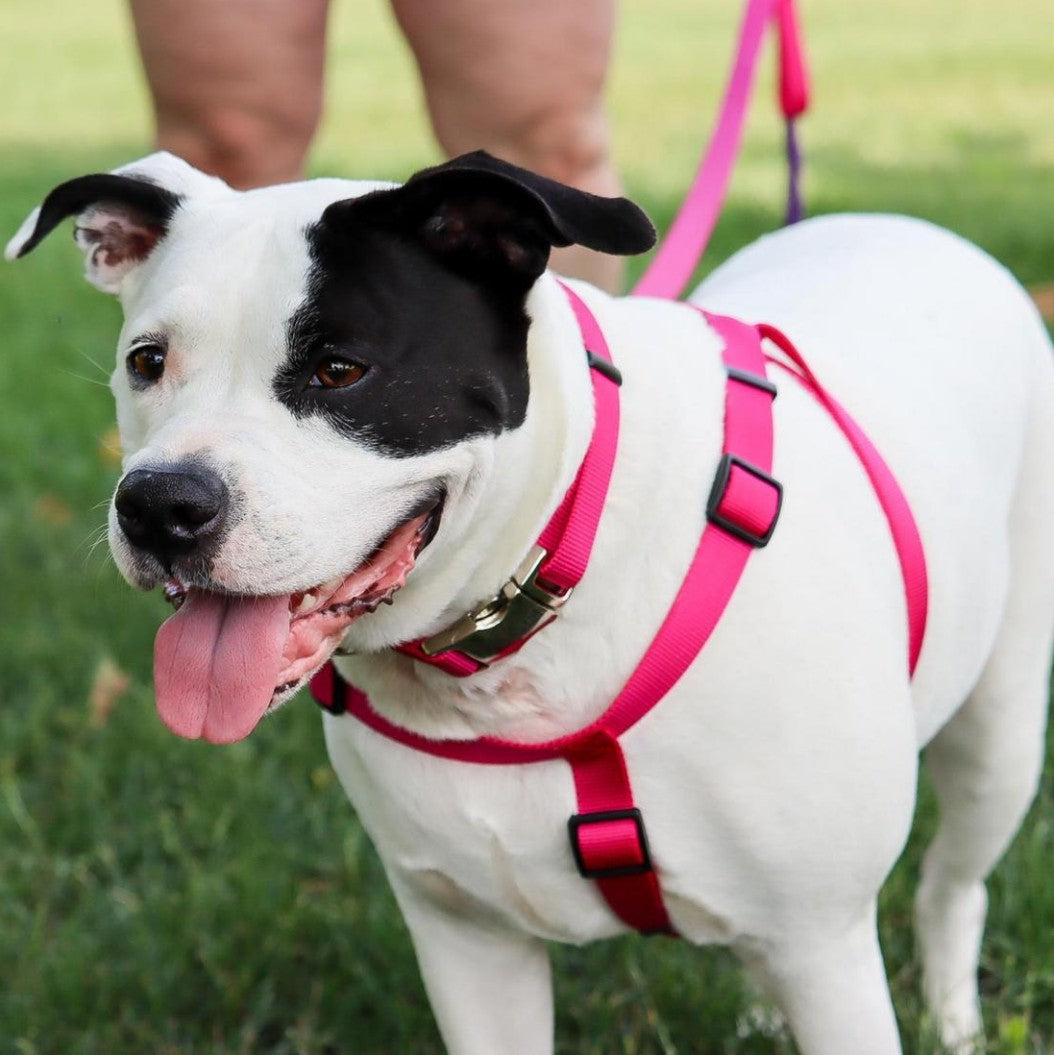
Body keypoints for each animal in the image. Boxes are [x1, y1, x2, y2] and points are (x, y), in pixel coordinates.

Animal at [8, 150, 1054, 1055]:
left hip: (998, 740)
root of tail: (911, 225)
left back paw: (955, 1021)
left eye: (341, 369)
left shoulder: (826, 946)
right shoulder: (469, 945)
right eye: (147, 361)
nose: (158, 505)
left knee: (954, 886)